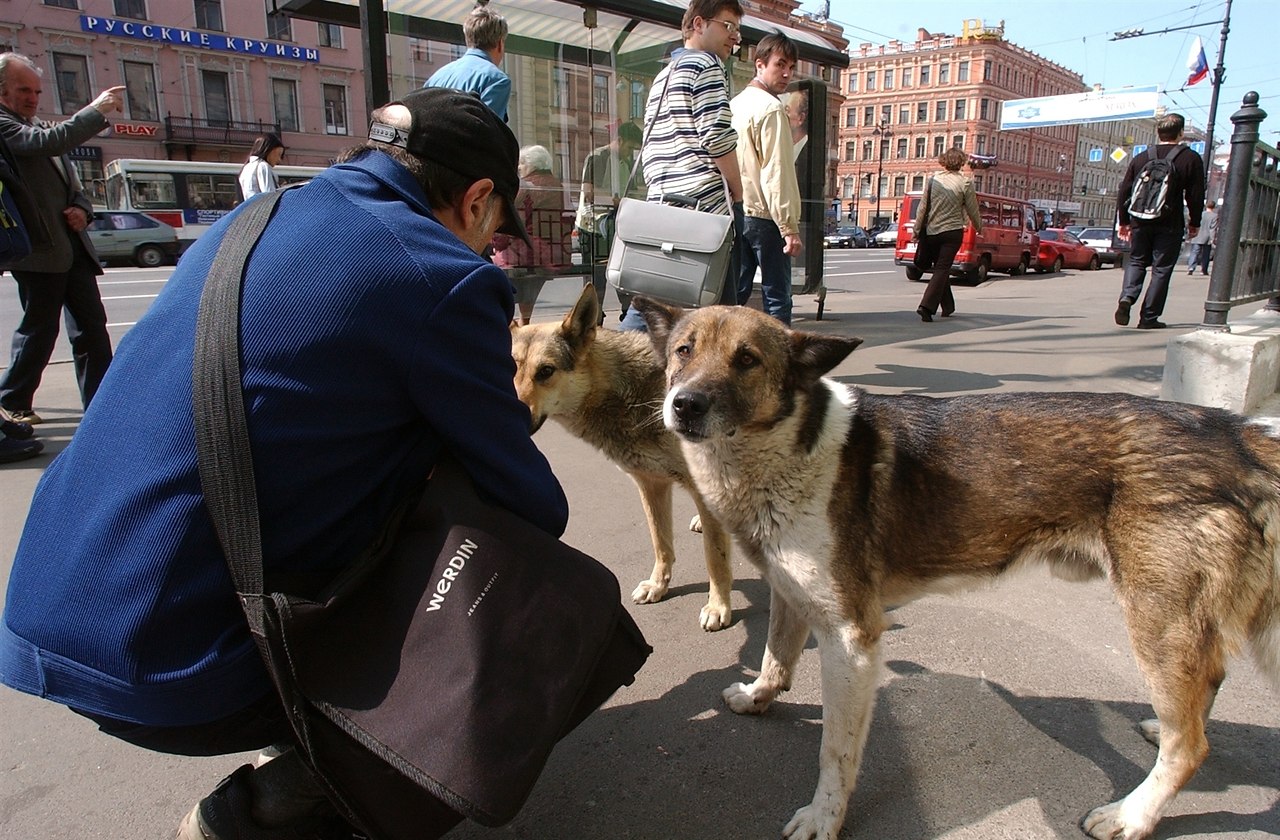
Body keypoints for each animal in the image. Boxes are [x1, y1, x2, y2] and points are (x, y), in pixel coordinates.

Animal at [506, 284, 732, 630]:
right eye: (511, 370)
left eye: (545, 372)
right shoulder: (651, 485)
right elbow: (661, 544)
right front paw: (658, 586)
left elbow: (714, 556)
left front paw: (718, 606)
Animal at [629, 297, 1280, 840]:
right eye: (684, 350)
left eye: (747, 359)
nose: (684, 405)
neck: (788, 448)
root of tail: (1236, 433)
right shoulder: (794, 594)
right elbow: (775, 656)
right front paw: (758, 696)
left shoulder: (852, 640)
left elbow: (835, 754)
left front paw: (823, 817)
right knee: (1203, 694)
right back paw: (1158, 732)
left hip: (1155, 620)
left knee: (1190, 745)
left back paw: (1133, 814)